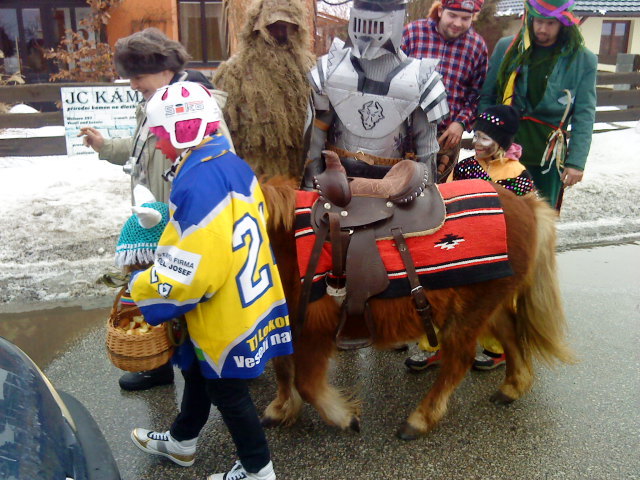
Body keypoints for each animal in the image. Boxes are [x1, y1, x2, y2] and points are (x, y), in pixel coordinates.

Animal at [258, 176, 575, 440]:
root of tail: (526, 204)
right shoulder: (284, 322)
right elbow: (283, 368)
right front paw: (282, 407)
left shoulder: (312, 330)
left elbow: (307, 383)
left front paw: (344, 417)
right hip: (487, 306)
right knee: (510, 336)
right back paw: (512, 387)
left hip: (468, 314)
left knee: (459, 360)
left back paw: (420, 419)